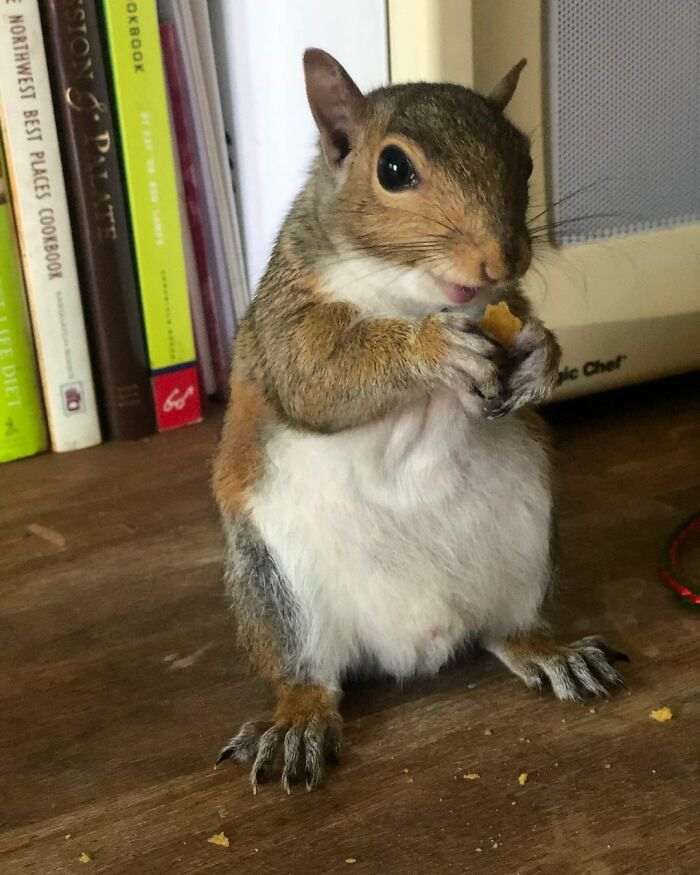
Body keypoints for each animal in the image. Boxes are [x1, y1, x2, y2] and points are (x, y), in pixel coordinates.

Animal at [212, 49, 628, 793]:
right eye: (394, 169)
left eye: (525, 159)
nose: (503, 258)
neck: (411, 291)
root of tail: (413, 642)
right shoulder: (285, 319)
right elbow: (316, 376)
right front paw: (432, 350)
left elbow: (524, 323)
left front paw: (542, 356)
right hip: (275, 583)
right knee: (306, 674)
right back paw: (297, 725)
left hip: (527, 544)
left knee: (504, 628)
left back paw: (552, 653)